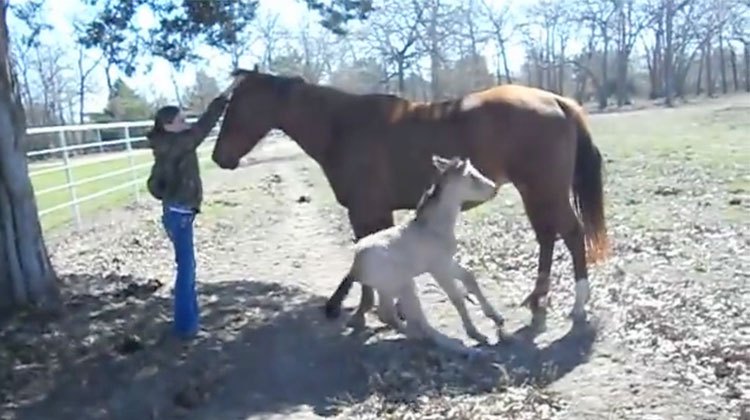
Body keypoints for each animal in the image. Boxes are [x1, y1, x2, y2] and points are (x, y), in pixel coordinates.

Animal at [211, 65, 609, 328]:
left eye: (236, 105)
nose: (218, 157)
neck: (343, 128)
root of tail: (555, 99)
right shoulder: (376, 214)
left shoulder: (365, 212)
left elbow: (362, 263)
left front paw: (360, 312)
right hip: (535, 192)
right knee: (547, 236)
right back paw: (537, 298)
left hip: (545, 190)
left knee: (570, 235)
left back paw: (578, 304)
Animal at [340, 155, 504, 356]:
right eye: (471, 176)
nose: (494, 189)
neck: (433, 228)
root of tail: (355, 267)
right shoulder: (438, 268)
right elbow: (456, 297)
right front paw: (475, 333)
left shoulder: (447, 263)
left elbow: (469, 277)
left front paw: (497, 317)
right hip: (404, 284)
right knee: (416, 319)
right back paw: (463, 349)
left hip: (387, 288)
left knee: (389, 315)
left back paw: (415, 335)